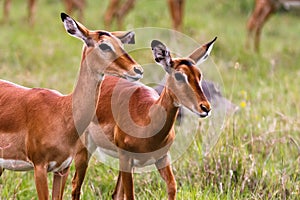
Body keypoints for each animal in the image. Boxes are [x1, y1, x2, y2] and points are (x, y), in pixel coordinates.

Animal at [0, 13, 143, 199]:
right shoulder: (40, 167)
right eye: (104, 45)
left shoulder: (63, 169)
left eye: (121, 45)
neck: (61, 111)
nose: (137, 70)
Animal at [70, 37, 216, 198]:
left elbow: (172, 187)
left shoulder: (162, 158)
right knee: (76, 185)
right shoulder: (126, 158)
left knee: (116, 194)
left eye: (199, 75)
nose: (205, 107)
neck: (146, 118)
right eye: (179, 75)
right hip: (86, 148)